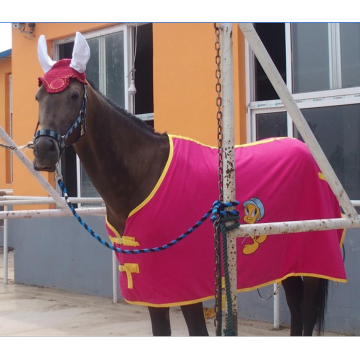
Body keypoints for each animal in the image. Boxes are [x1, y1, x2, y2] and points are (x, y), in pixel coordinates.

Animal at [31, 32, 346, 336]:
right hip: (288, 260)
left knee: (306, 309)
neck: (142, 175)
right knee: (296, 306)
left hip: (314, 256)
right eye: (38, 97)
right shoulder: (153, 289)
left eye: (74, 95)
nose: (44, 151)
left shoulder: (185, 288)